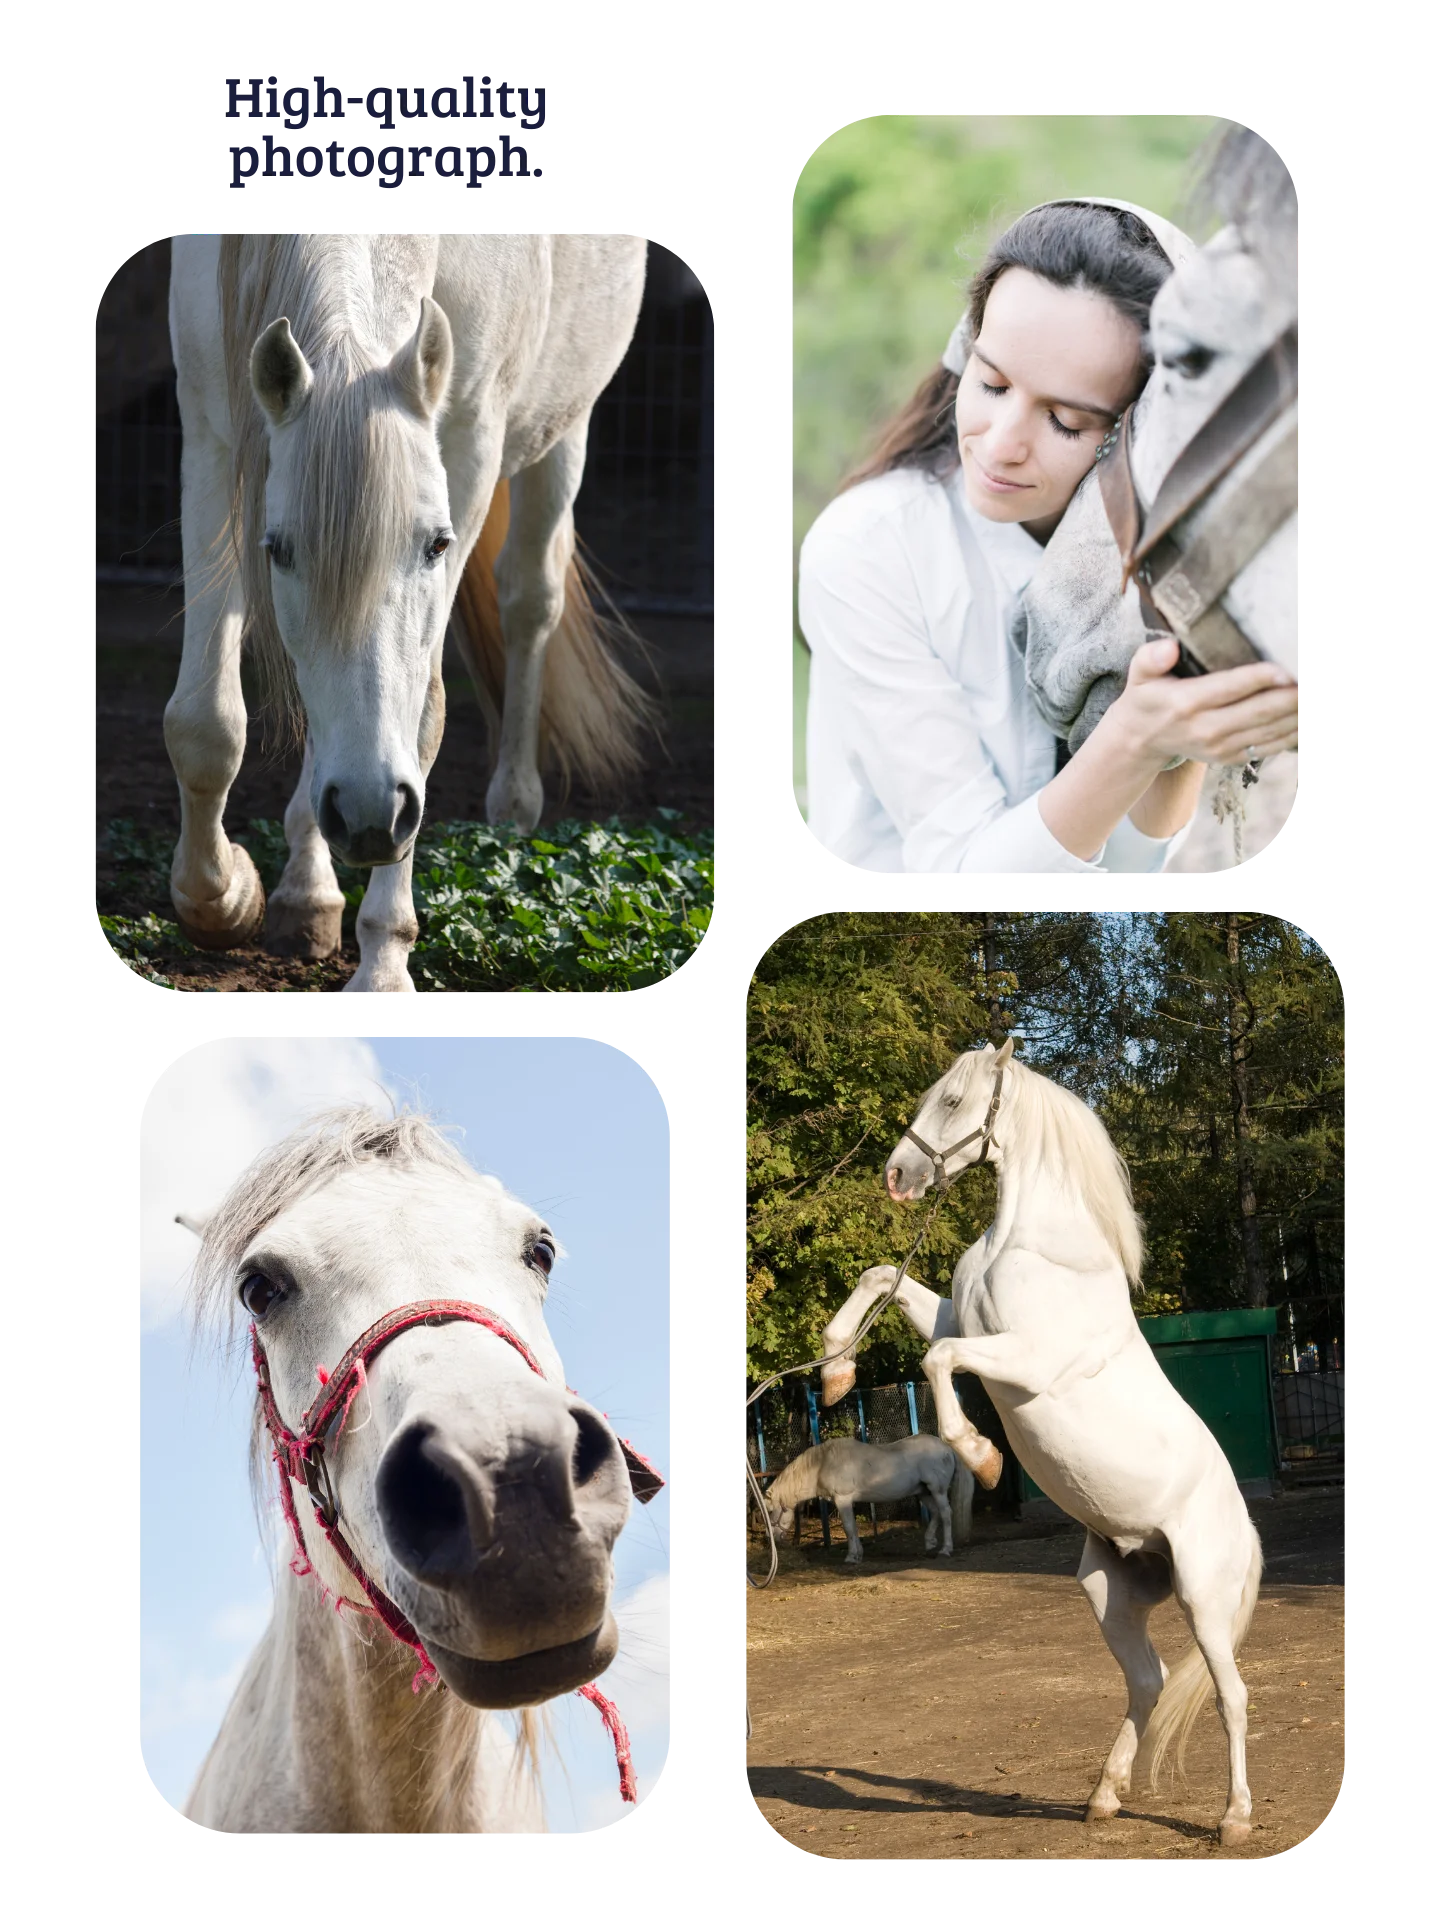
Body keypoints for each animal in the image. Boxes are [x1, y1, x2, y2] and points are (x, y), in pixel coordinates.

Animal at [166, 234, 657, 999]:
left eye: (437, 544)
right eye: (277, 549)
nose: (371, 816)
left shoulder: (471, 447)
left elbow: (423, 714)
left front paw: (384, 964)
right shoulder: (212, 429)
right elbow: (204, 723)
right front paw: (222, 899)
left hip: (564, 427)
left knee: (530, 600)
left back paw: (512, 816)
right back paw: (308, 889)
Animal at [764, 1434, 975, 1564]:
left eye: (770, 1511)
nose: (771, 1538)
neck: (823, 1463)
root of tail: (947, 1447)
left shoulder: (843, 1500)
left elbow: (849, 1528)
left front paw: (851, 1557)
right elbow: (853, 1528)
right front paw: (858, 1554)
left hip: (937, 1491)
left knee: (946, 1514)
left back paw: (945, 1549)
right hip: (923, 1492)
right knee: (936, 1513)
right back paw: (930, 1542)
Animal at [819, 1038, 1263, 1847]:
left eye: (953, 1101)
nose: (899, 1177)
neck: (1032, 1245)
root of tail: (1244, 1531)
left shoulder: (1020, 1357)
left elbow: (937, 1361)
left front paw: (984, 1457)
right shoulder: (959, 1318)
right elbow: (882, 1279)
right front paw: (836, 1370)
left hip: (1204, 1599)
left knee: (1232, 1695)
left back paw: (1234, 1819)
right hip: (1110, 1592)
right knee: (1148, 1680)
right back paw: (1103, 1798)